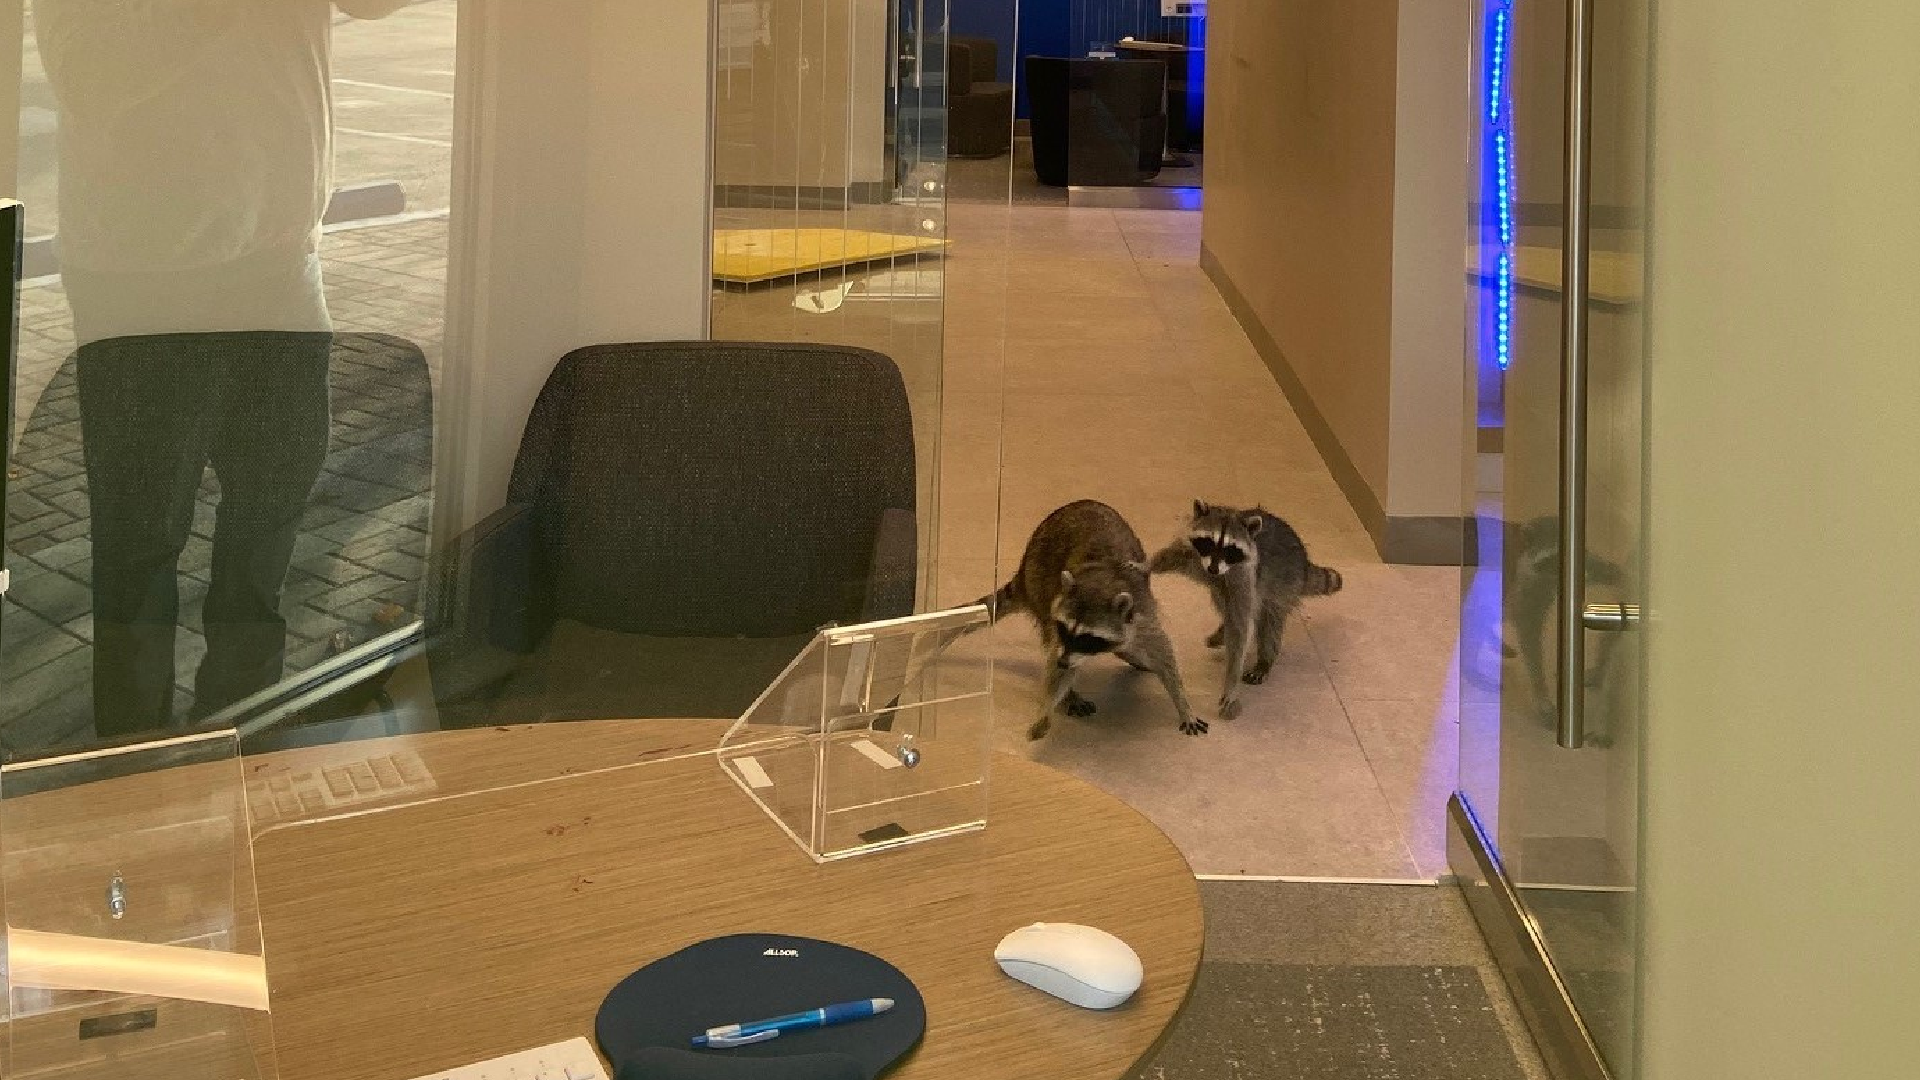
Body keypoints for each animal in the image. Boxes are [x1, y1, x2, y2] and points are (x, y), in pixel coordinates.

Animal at [983, 499, 1205, 737]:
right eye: (1065, 630)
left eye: (1086, 638)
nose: (1063, 662)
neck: (1100, 585)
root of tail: (1023, 570)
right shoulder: (1058, 622)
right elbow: (1055, 663)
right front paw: (1047, 709)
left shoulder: (1143, 615)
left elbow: (1163, 653)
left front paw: (1183, 703)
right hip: (1040, 579)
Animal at [1144, 499, 1344, 718]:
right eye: (1208, 542)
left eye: (1230, 549)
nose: (1213, 569)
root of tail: (1304, 562)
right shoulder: (1194, 556)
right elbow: (1172, 555)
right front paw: (1147, 564)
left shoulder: (1245, 576)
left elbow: (1241, 631)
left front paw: (1231, 686)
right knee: (1223, 603)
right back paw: (1222, 630)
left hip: (1284, 586)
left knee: (1269, 625)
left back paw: (1265, 660)